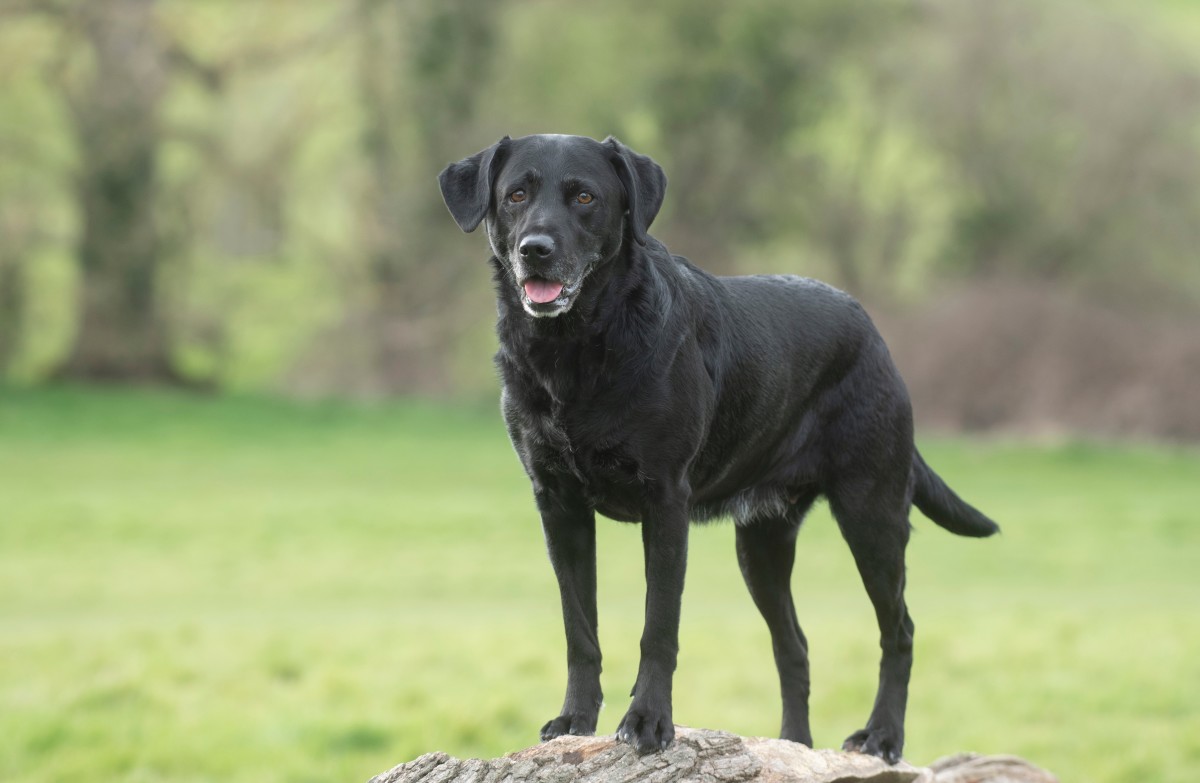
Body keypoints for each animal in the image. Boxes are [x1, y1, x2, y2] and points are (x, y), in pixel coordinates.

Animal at [436, 131, 998, 763]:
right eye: (516, 195)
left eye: (584, 197)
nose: (536, 249)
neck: (576, 349)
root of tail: (873, 332)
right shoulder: (558, 504)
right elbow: (579, 627)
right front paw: (575, 721)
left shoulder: (665, 502)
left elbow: (658, 626)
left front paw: (649, 723)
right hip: (761, 544)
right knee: (795, 647)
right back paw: (793, 745)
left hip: (871, 514)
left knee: (898, 631)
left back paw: (881, 736)